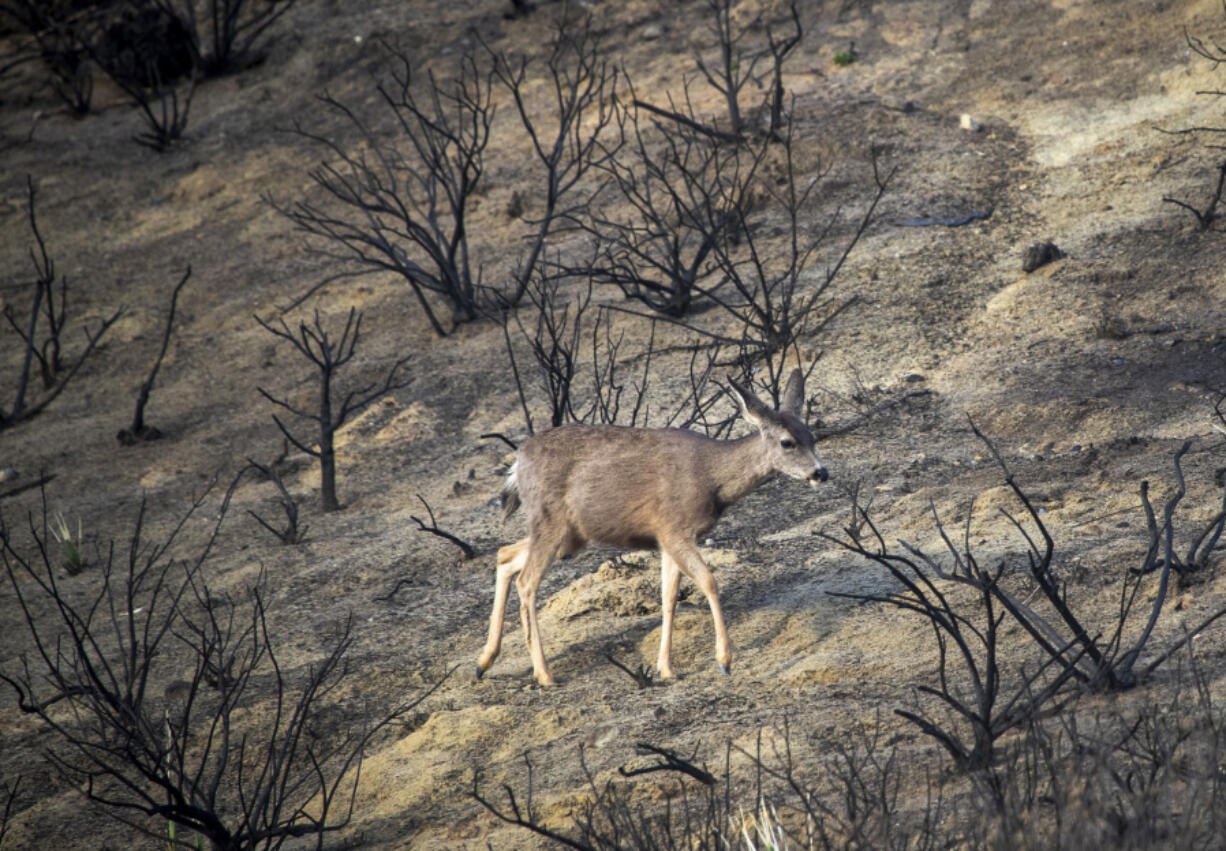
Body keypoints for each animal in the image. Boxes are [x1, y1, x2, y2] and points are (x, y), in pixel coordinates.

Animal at [473, 367, 828, 686]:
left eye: (812, 437)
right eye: (787, 442)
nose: (821, 472)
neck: (711, 477)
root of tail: (517, 463)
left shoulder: (665, 537)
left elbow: (668, 597)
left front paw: (666, 668)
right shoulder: (674, 527)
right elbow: (709, 581)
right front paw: (724, 661)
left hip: (570, 535)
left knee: (506, 555)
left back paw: (484, 661)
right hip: (551, 522)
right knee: (527, 581)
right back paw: (544, 674)